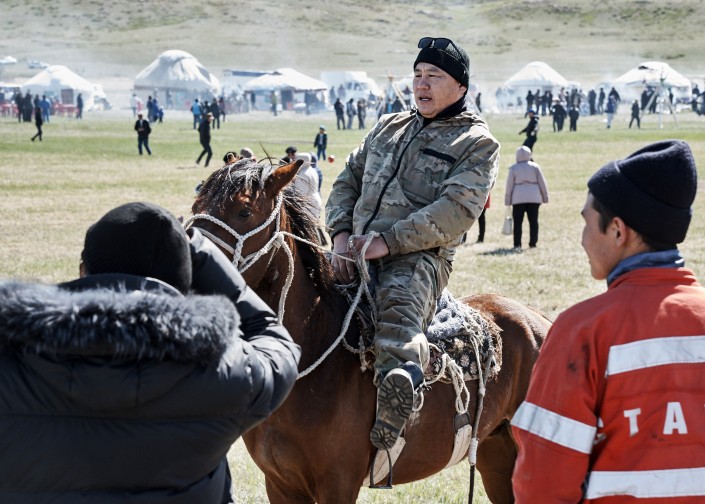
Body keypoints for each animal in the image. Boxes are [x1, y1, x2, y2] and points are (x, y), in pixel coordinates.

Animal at [188, 159, 551, 503]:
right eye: (196, 206)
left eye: (244, 211)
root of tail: (539, 322)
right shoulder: (280, 486)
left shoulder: (338, 486)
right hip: (496, 453)